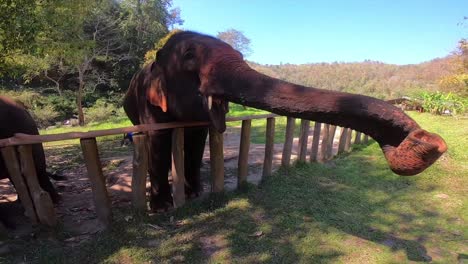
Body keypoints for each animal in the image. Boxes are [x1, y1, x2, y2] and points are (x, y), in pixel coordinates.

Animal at [124, 29, 446, 208]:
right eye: (189, 55)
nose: (427, 140)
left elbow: (196, 139)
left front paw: (194, 195)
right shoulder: (147, 104)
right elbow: (157, 139)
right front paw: (163, 208)